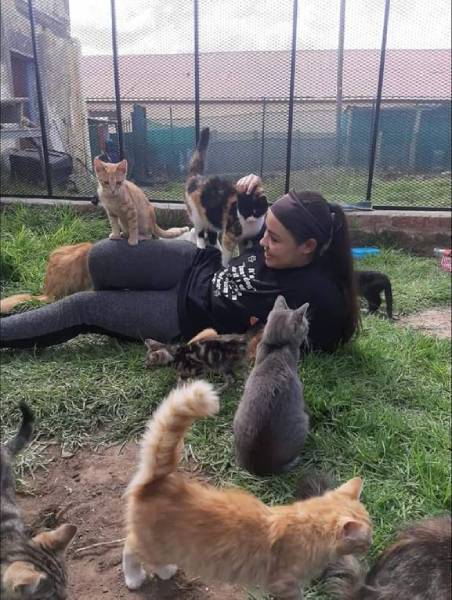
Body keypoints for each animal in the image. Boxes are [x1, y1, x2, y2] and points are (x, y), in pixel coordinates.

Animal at [122, 379, 373, 599]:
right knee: (129, 550)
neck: (307, 530)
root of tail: (158, 480)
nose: (371, 545)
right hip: (152, 544)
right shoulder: (284, 584)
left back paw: (164, 570)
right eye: (367, 537)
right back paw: (136, 578)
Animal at [185, 127, 268, 266]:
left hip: (211, 216)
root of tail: (196, 177)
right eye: (244, 210)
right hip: (197, 216)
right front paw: (225, 265)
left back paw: (216, 248)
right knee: (200, 233)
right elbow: (227, 255)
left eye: (256, 211)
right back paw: (201, 246)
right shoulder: (229, 236)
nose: (249, 218)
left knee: (212, 235)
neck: (250, 227)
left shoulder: (245, 239)